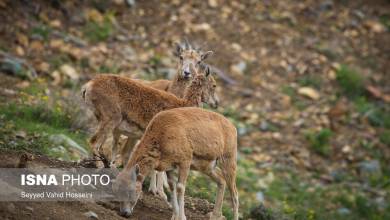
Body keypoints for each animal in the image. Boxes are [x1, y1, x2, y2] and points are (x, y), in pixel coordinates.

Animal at [112, 107, 241, 220]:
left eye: (130, 191)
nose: (125, 213)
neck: (163, 136)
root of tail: (233, 128)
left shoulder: (185, 162)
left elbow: (180, 188)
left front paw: (182, 217)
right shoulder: (170, 167)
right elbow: (171, 187)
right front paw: (174, 216)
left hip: (228, 160)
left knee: (234, 193)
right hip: (208, 167)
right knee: (221, 181)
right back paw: (215, 216)